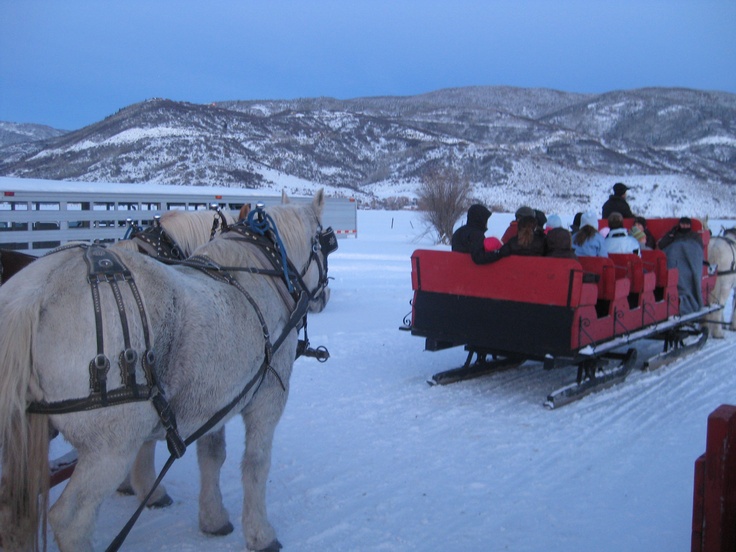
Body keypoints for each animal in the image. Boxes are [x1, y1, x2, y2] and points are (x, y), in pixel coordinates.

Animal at [0, 191, 330, 552]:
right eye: (324, 242)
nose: (325, 295)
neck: (259, 275)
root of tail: (35, 292)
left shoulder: (215, 399)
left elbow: (212, 457)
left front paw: (212, 518)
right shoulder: (266, 397)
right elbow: (255, 464)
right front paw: (260, 534)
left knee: (13, 509)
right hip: (110, 447)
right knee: (71, 520)